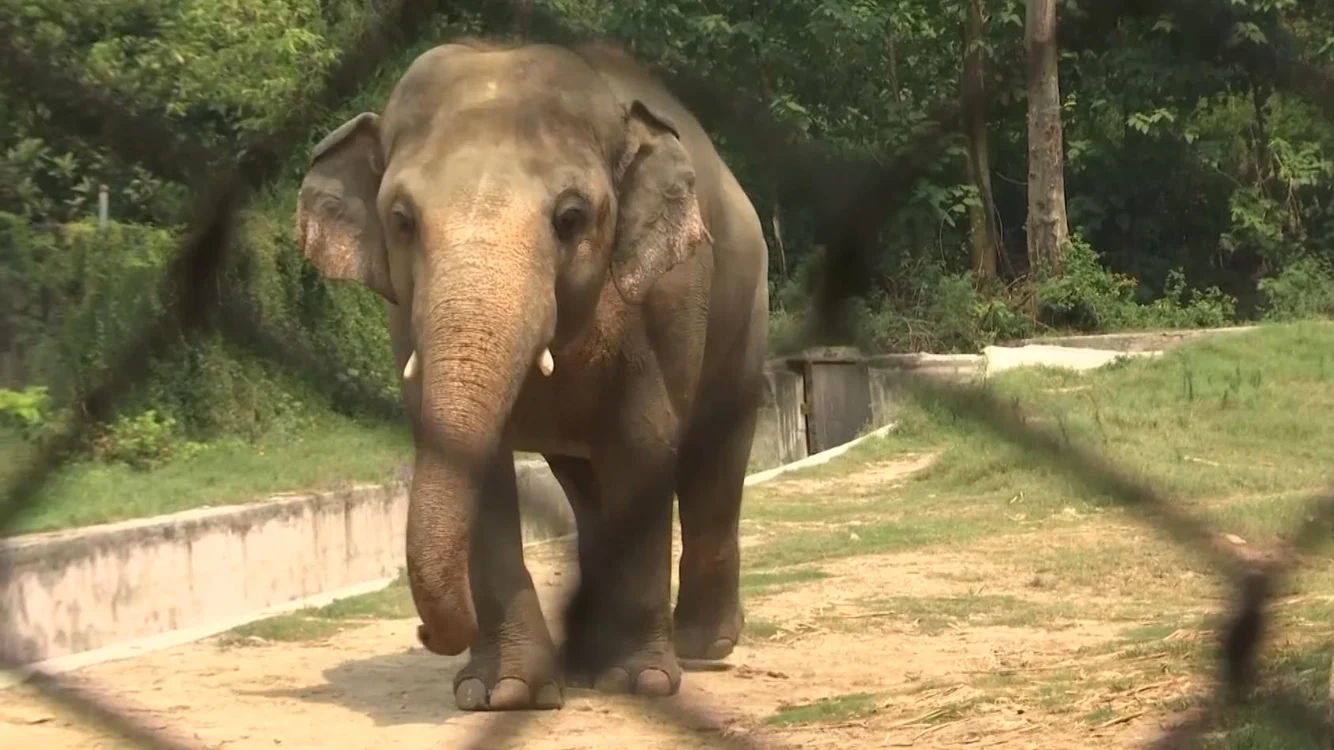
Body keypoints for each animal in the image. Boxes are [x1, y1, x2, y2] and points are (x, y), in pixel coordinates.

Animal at [292, 37, 769, 712]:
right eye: (402, 220)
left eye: (571, 217)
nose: (426, 632)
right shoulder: (404, 318)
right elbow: (479, 467)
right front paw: (505, 693)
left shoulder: (666, 300)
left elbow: (644, 445)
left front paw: (641, 683)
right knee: (590, 491)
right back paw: (584, 658)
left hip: (746, 312)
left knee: (714, 463)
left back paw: (701, 647)